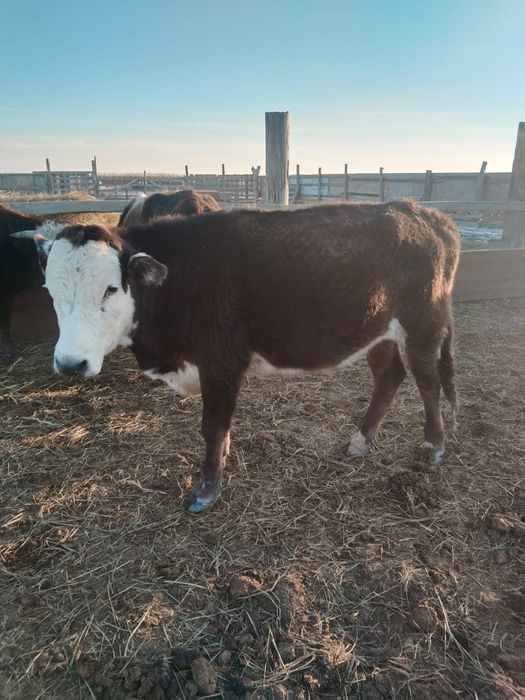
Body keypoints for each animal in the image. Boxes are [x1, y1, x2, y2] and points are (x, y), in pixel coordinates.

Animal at [19, 201, 460, 513]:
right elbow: (223, 428)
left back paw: (433, 445)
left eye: (111, 289)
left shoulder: (221, 362)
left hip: (422, 323)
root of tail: (427, 214)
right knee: (390, 375)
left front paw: (206, 488)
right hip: (377, 330)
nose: (70, 363)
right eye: (49, 289)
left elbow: (213, 426)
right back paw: (361, 439)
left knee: (428, 380)